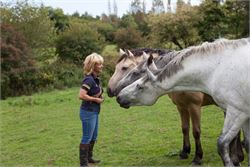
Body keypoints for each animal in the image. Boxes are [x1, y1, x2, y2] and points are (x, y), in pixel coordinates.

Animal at [116, 38, 250, 167]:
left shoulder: (195, 106)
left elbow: (196, 132)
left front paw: (197, 158)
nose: (116, 92)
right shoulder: (181, 106)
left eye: (132, 71)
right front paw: (185, 151)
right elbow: (185, 128)